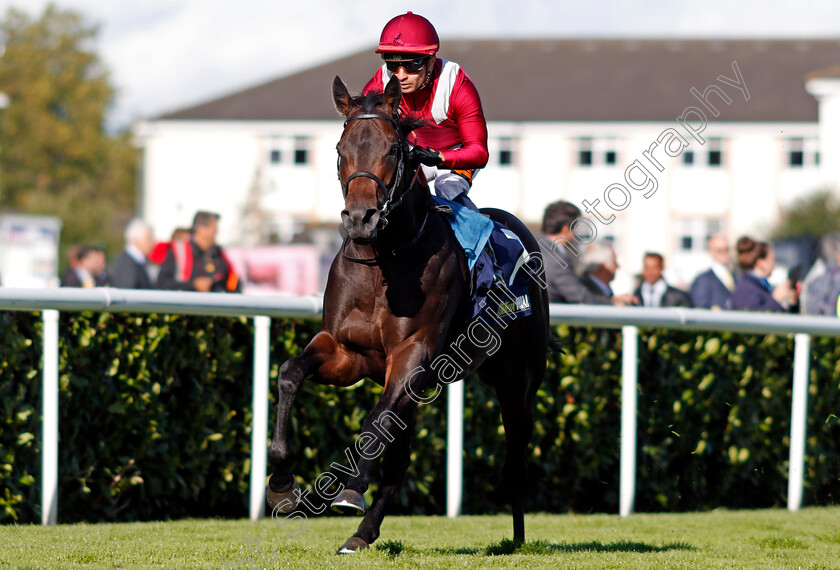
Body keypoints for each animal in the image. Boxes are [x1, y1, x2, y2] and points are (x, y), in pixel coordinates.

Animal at [266, 73, 556, 552]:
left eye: (392, 149)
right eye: (341, 149)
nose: (360, 217)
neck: (383, 261)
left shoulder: (413, 355)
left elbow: (375, 417)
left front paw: (350, 488)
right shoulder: (346, 352)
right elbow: (290, 372)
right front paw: (282, 485)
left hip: (518, 378)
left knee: (515, 456)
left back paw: (516, 539)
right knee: (399, 460)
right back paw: (360, 536)